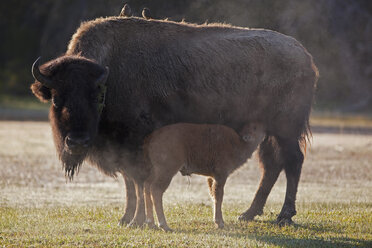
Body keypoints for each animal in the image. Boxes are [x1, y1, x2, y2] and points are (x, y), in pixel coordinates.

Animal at [30, 14, 318, 226]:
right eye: (57, 98)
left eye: (95, 96)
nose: (77, 142)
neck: (110, 76)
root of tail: (306, 58)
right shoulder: (123, 147)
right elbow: (131, 182)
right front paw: (127, 218)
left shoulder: (135, 142)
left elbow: (138, 181)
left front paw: (138, 220)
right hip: (268, 132)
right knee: (271, 165)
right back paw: (248, 213)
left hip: (286, 130)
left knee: (292, 161)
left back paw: (284, 216)